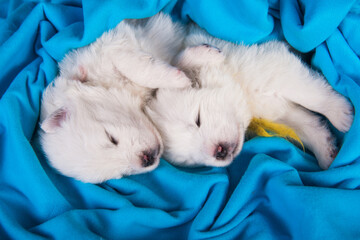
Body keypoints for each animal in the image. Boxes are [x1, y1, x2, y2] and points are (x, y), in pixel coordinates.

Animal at [39, 13, 191, 183]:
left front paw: (180, 80)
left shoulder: (113, 47)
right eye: (119, 174)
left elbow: (135, 67)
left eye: (111, 138)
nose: (146, 159)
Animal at [147, 24, 354, 169]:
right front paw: (327, 153)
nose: (219, 152)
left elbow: (310, 94)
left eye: (197, 119)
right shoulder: (281, 114)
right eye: (190, 160)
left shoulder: (277, 69)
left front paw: (341, 114)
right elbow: (309, 126)